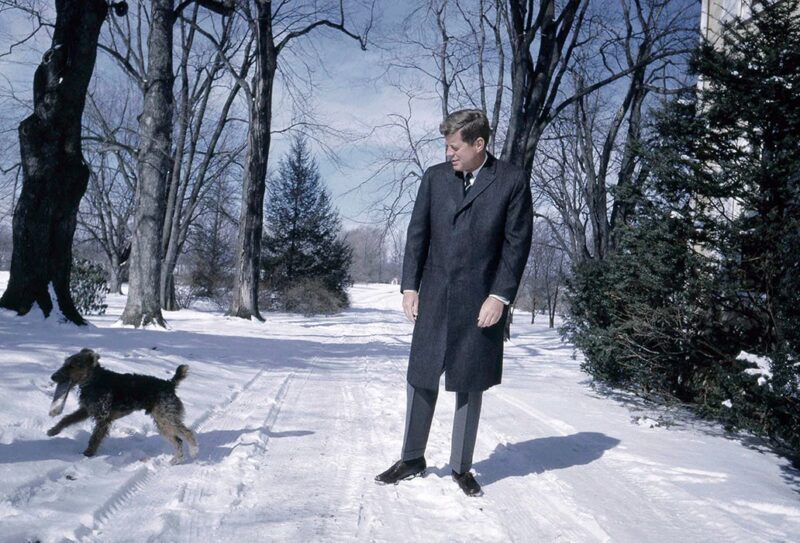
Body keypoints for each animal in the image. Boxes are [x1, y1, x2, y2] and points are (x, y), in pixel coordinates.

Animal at [47, 348, 199, 464]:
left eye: (72, 366)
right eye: (65, 363)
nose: (53, 377)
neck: (94, 380)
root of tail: (169, 384)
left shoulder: (103, 418)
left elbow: (94, 439)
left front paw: (88, 455)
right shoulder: (86, 410)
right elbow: (67, 419)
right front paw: (53, 431)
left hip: (166, 417)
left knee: (187, 433)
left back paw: (193, 451)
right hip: (162, 421)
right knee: (178, 440)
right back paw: (176, 460)